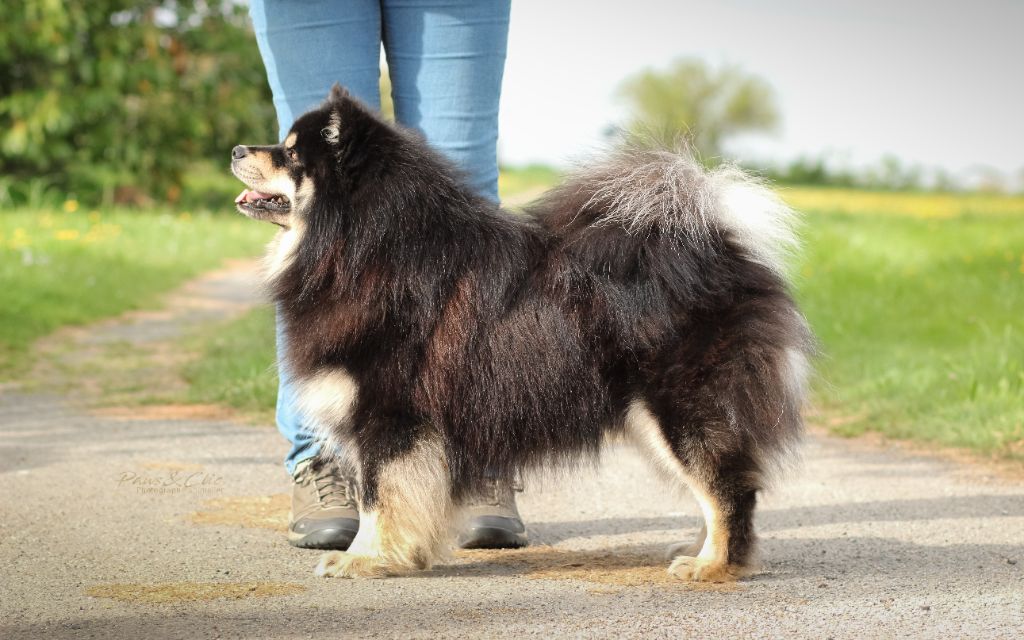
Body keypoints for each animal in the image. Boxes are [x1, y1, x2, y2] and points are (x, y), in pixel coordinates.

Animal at [231, 85, 812, 582]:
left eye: (289, 155)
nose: (236, 148)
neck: (363, 248)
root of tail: (721, 246)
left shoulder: (389, 415)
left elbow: (379, 497)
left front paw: (366, 559)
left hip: (682, 409)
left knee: (728, 490)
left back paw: (713, 565)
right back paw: (701, 551)